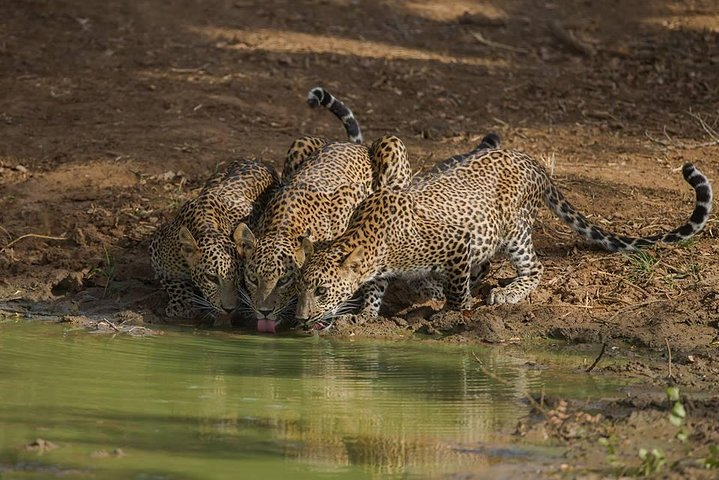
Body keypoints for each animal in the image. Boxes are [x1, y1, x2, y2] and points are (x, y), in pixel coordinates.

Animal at [149, 86, 368, 320]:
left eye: (284, 281)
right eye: (211, 278)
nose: (231, 308)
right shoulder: (157, 249)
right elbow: (172, 280)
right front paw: (182, 304)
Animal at [296, 143, 712, 330]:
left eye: (321, 291)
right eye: (300, 287)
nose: (300, 319)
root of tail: (533, 161)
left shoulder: (458, 244)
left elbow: (455, 289)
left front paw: (453, 310)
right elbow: (385, 287)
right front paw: (366, 314)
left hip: (515, 230)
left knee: (535, 269)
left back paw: (507, 293)